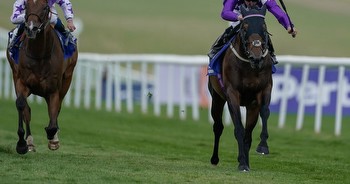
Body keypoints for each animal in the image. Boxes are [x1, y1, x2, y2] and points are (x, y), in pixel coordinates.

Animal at [5, 0, 77, 154]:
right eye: (26, 5)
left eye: (45, 7)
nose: (31, 28)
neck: (38, 54)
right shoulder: (21, 81)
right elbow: (22, 105)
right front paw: (22, 144)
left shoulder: (53, 89)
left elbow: (53, 113)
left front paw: (53, 137)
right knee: (27, 110)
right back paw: (30, 142)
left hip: (67, 79)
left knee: (56, 107)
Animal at [209, 5, 272, 171]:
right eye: (244, 27)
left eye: (264, 27)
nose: (256, 56)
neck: (249, 66)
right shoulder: (232, 93)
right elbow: (238, 128)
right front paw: (242, 163)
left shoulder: (263, 91)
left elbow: (264, 113)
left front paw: (262, 147)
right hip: (217, 98)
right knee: (218, 127)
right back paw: (215, 159)